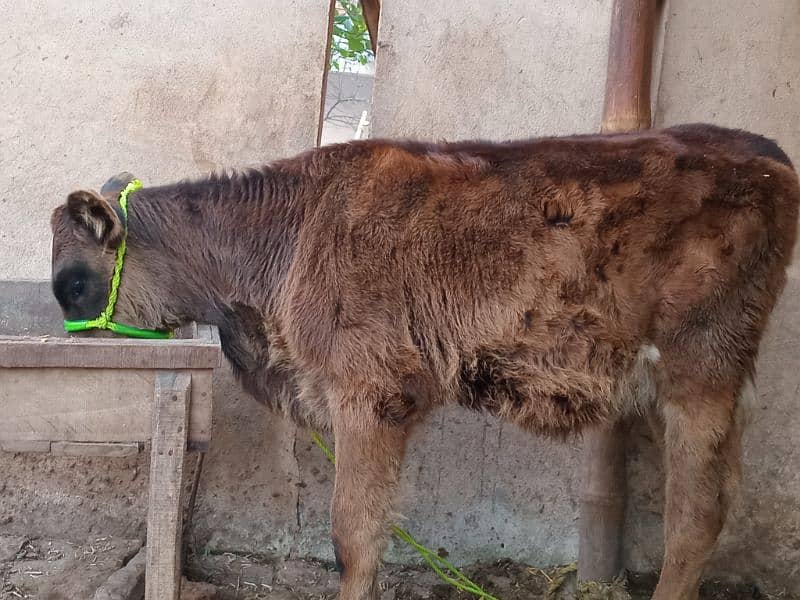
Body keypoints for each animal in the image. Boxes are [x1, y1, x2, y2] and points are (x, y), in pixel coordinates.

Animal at [51, 124, 800, 596]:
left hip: (699, 374)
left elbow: (352, 535)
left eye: (74, 284)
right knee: (720, 503)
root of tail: (764, 153)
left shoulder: (371, 392)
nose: (73, 345)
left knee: (694, 517)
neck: (288, 234)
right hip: (715, 389)